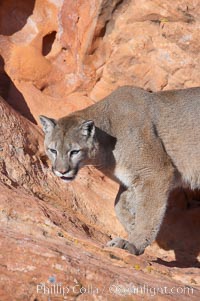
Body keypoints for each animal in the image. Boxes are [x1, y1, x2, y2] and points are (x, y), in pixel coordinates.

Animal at [39, 85, 200, 254]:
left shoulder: (155, 173)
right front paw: (132, 226)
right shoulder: (131, 180)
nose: (61, 171)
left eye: (74, 152)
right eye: (53, 150)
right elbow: (118, 205)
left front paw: (133, 243)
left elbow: (147, 213)